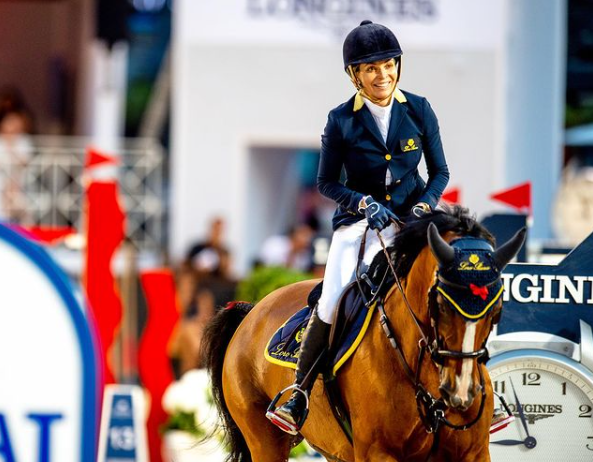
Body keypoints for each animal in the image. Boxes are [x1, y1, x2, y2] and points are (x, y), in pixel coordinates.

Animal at [202, 208, 524, 460]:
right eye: (442, 304)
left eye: (497, 308)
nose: (462, 393)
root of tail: (252, 310)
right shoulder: (378, 453)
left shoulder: (474, 453)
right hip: (264, 440)